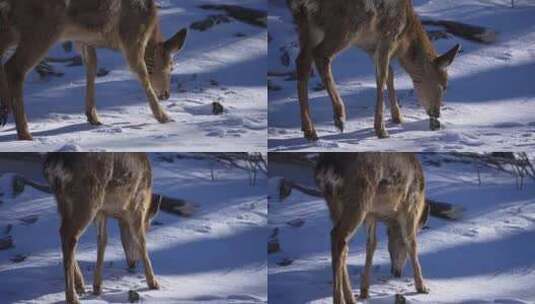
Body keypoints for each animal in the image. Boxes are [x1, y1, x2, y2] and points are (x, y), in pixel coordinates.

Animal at [0, 0, 188, 140]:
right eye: (171, 67)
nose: (166, 94)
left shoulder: (83, 38)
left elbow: (92, 65)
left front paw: (92, 116)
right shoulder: (132, 34)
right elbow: (141, 73)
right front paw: (163, 116)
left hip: (14, 26)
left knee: (4, 58)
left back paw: (5, 112)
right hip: (43, 26)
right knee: (14, 67)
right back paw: (25, 133)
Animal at [43, 153, 161, 302]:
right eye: (147, 227)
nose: (133, 263)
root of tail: (54, 164)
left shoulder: (102, 212)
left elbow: (102, 241)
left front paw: (97, 287)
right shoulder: (136, 205)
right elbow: (142, 242)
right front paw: (153, 283)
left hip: (63, 201)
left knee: (63, 233)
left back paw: (80, 284)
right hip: (87, 199)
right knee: (69, 236)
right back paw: (72, 296)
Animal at [288, 0, 460, 140]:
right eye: (443, 86)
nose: (436, 113)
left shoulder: (371, 48)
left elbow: (390, 74)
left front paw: (397, 117)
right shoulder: (387, 36)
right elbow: (382, 77)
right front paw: (381, 129)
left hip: (306, 22)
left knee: (302, 62)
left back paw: (309, 130)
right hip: (345, 23)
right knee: (320, 55)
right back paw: (339, 117)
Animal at [316, 153, 430, 302]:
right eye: (400, 245)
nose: (396, 272)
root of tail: (327, 166)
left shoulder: (371, 215)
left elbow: (371, 244)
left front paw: (364, 291)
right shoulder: (410, 206)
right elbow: (412, 242)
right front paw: (422, 287)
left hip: (335, 204)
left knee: (343, 245)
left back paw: (350, 298)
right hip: (359, 199)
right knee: (337, 236)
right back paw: (340, 299)